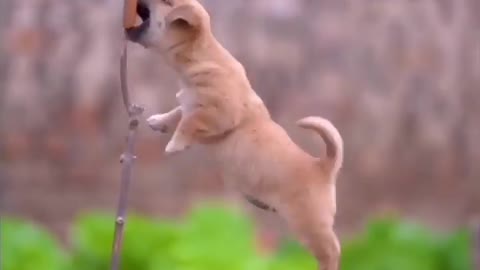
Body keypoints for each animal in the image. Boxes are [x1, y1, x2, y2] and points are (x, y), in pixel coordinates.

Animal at [126, 1, 344, 268]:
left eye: (167, 3)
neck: (202, 58)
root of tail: (324, 166)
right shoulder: (188, 103)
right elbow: (178, 112)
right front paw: (159, 122)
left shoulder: (220, 114)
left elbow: (190, 121)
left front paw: (176, 143)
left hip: (309, 225)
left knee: (331, 250)